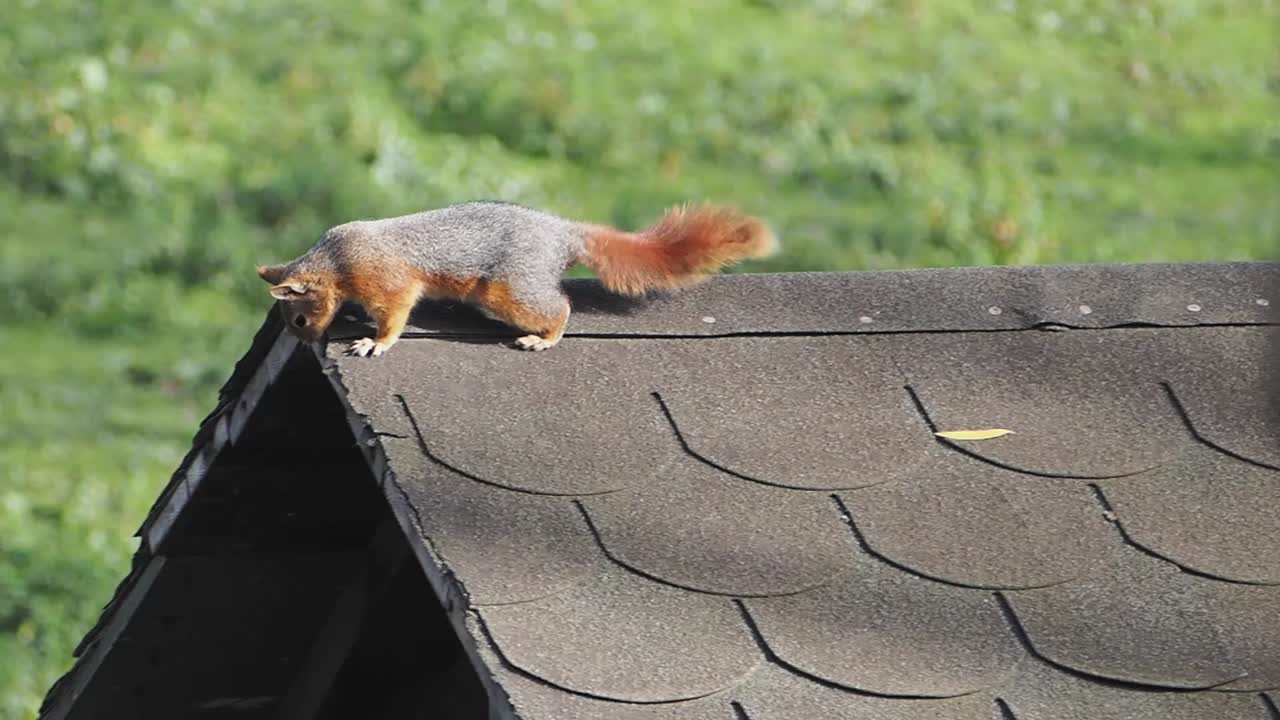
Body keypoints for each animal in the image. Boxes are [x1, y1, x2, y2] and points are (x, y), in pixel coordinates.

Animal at [256, 200, 777, 356]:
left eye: (299, 320)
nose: (308, 344)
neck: (334, 262)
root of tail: (562, 234)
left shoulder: (385, 279)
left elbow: (396, 313)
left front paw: (374, 343)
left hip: (509, 289)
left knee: (559, 307)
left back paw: (544, 338)